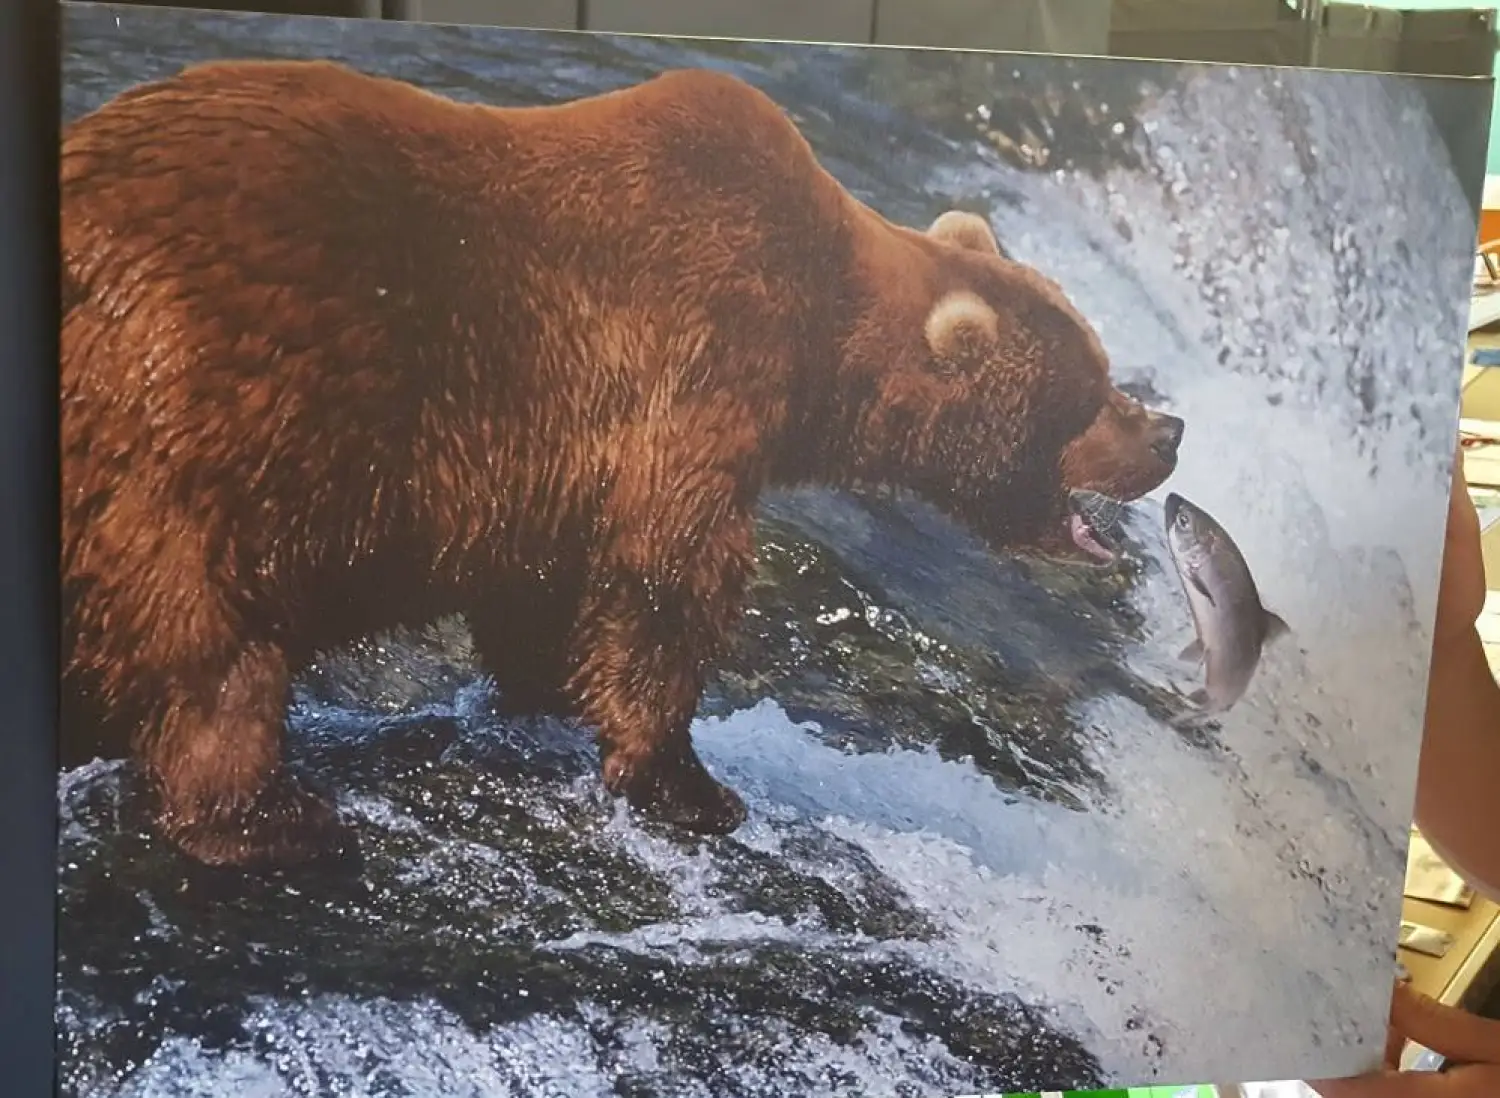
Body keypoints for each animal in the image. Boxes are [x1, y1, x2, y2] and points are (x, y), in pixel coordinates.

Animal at [59, 61, 1184, 868]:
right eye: (1090, 395)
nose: (1170, 430)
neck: (821, 333)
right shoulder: (698, 362)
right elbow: (668, 578)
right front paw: (690, 784)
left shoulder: (553, 459)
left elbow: (550, 582)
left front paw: (556, 691)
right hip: (198, 424)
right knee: (204, 640)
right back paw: (268, 819)